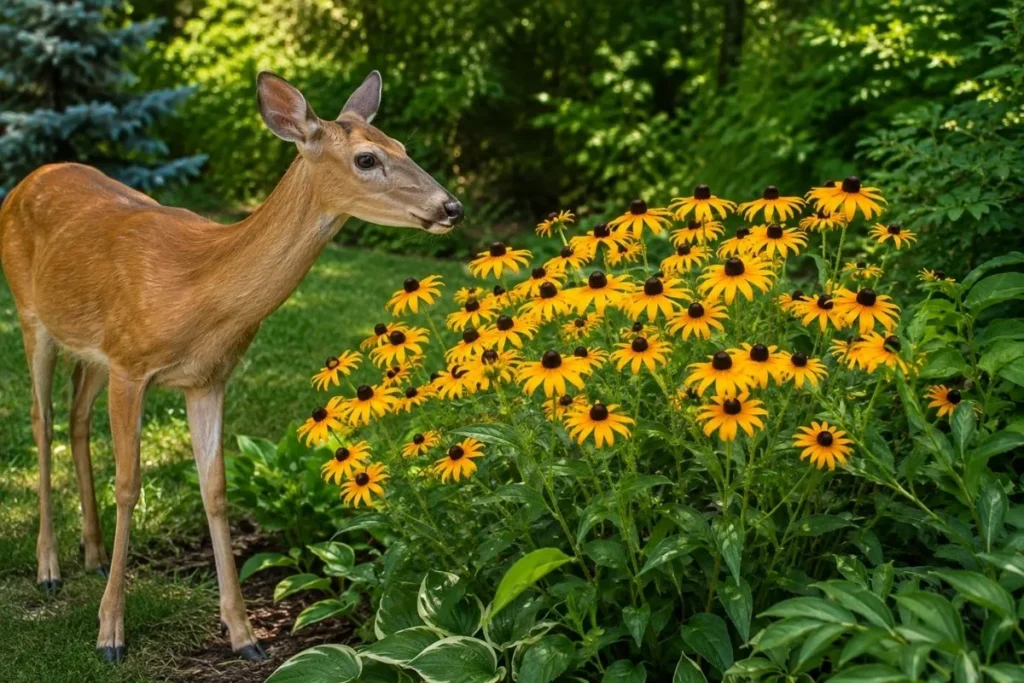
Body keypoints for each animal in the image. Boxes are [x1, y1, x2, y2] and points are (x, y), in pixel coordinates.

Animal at [0, 71, 462, 663]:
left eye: (402, 146)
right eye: (366, 158)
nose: (452, 208)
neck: (198, 288)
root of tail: (26, 180)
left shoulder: (208, 377)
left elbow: (215, 491)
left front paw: (244, 636)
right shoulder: (131, 365)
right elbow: (128, 484)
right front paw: (110, 634)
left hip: (88, 347)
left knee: (77, 416)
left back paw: (94, 556)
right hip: (30, 315)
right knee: (43, 421)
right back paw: (50, 569)